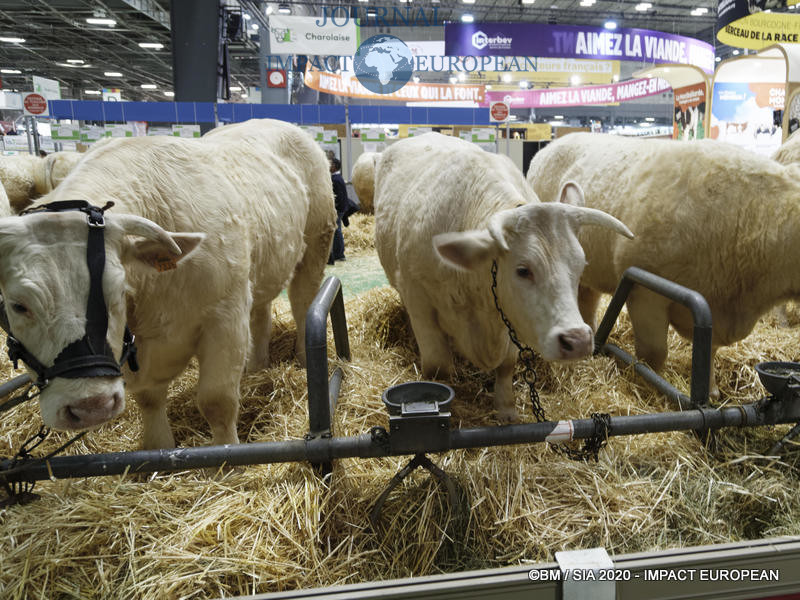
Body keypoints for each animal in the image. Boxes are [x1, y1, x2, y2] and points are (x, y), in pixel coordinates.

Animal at [0, 130, 334, 450]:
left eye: (116, 292)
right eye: (18, 305)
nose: (91, 406)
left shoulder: (225, 317)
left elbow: (217, 401)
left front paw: (227, 456)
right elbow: (149, 401)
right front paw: (157, 447)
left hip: (315, 245)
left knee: (302, 304)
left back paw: (303, 360)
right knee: (261, 315)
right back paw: (256, 367)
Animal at [374, 134, 632, 420]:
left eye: (580, 265)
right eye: (523, 270)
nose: (577, 340)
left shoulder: (509, 315)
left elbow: (507, 365)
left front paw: (506, 408)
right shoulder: (419, 300)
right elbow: (438, 368)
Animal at [528, 134, 800, 400]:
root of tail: (554, 143)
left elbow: (708, 349)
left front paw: (711, 390)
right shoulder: (646, 293)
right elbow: (653, 354)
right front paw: (652, 393)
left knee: (588, 300)